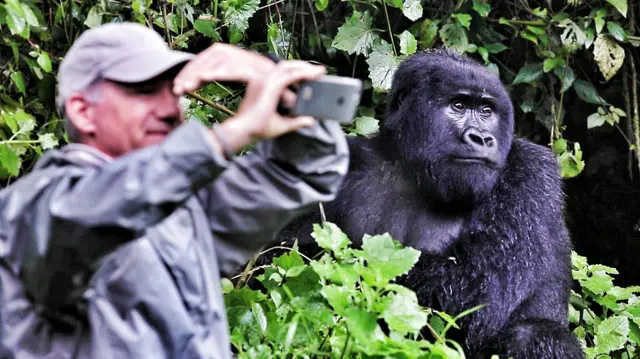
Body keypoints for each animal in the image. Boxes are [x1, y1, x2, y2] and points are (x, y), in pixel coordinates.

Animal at [262, 50, 588, 359]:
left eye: (486, 111)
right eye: (458, 106)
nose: (482, 138)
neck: (413, 170)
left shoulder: (531, 174)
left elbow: (476, 294)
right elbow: (275, 260)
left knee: (534, 334)